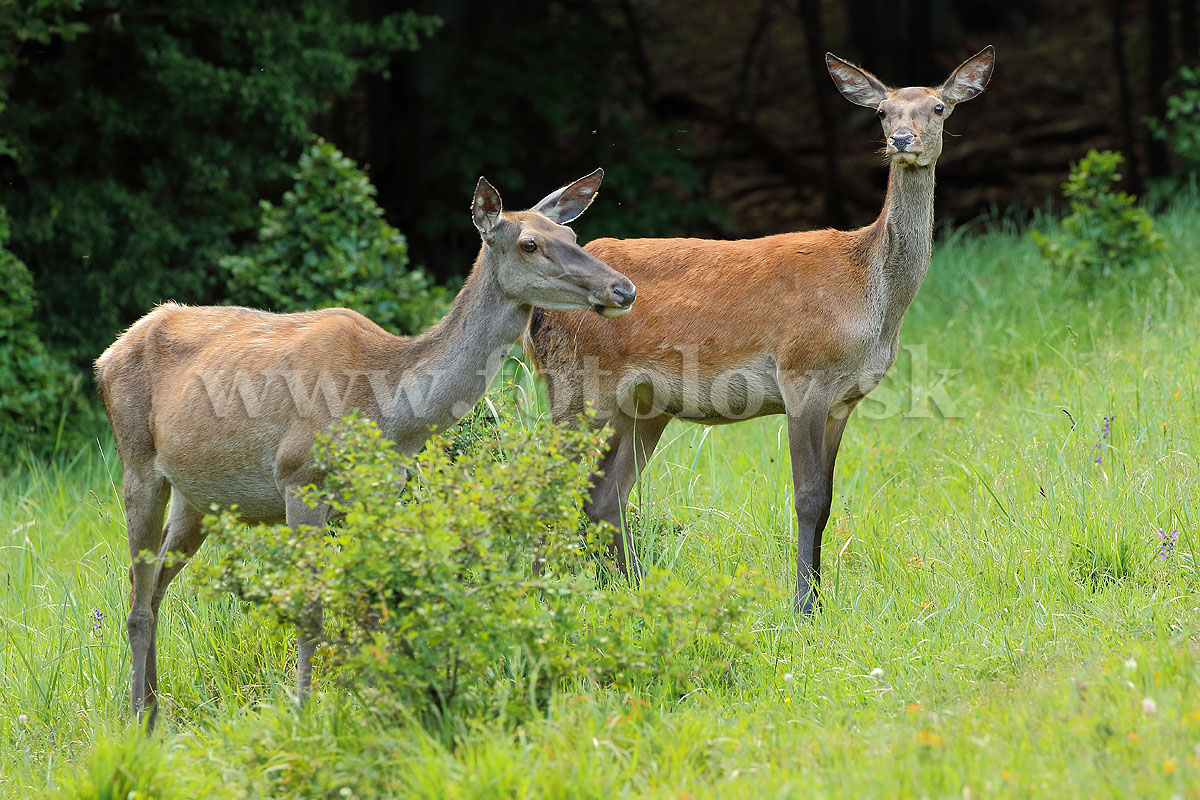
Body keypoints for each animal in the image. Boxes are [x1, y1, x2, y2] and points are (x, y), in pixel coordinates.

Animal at [93, 170, 638, 724]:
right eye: (529, 243)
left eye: (571, 235)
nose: (623, 288)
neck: (390, 412)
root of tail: (108, 353)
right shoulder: (299, 477)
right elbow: (311, 611)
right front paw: (304, 714)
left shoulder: (375, 495)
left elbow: (375, 597)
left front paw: (386, 700)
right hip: (136, 462)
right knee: (138, 596)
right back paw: (137, 717)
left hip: (198, 499)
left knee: (152, 585)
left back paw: (154, 710)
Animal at [525, 47, 993, 614]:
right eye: (883, 111)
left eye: (939, 107)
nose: (903, 140)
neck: (871, 299)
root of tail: (534, 319)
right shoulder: (802, 374)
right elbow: (807, 497)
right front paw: (803, 608)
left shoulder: (845, 399)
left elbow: (829, 499)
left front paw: (820, 600)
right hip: (577, 385)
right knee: (549, 484)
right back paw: (537, 595)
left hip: (641, 405)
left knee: (605, 496)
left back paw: (631, 589)